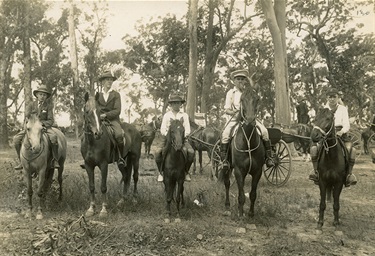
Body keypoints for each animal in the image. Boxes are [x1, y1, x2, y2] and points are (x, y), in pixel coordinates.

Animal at [223, 86, 268, 218]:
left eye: (257, 99)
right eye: (242, 100)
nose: (250, 119)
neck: (248, 141)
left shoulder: (257, 171)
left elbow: (253, 194)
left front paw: (251, 213)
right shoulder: (239, 171)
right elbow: (241, 195)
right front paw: (240, 213)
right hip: (227, 167)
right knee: (227, 183)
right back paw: (227, 205)